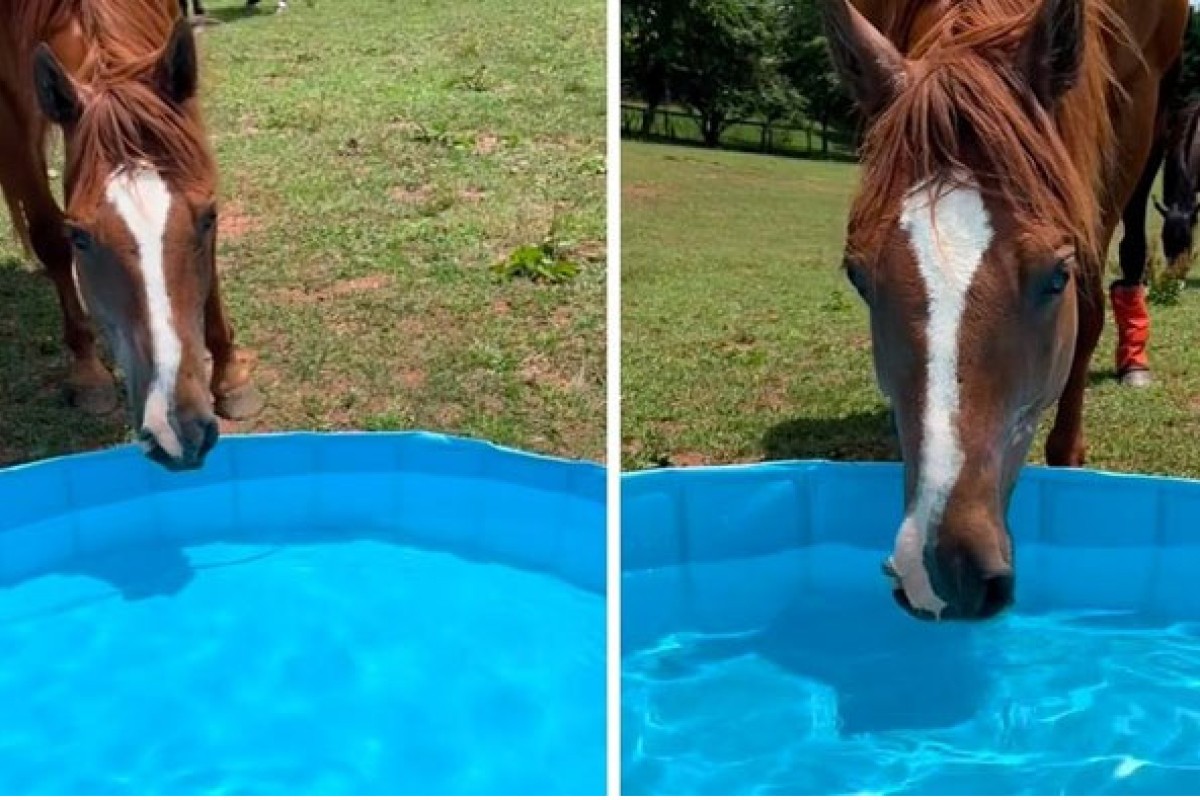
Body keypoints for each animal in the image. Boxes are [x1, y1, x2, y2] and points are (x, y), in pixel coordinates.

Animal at [0, 0, 261, 472]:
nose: (178, 429)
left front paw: (231, 375)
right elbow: (46, 234)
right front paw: (87, 372)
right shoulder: (8, 105)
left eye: (209, 218)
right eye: (79, 237)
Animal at [825, 0, 1190, 623]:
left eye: (1056, 276)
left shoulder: (1135, 106)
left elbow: (1089, 305)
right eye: (857, 277)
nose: (942, 570)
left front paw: (1069, 455)